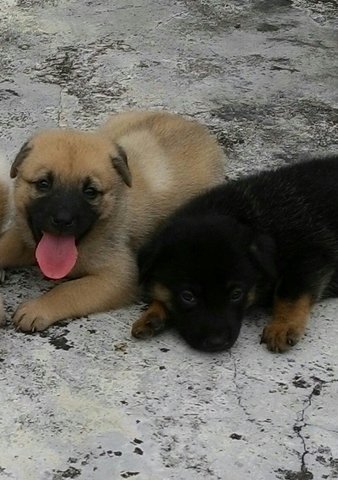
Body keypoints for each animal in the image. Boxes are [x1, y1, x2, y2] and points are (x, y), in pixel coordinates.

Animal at [0, 110, 226, 332]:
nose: (62, 220)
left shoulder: (118, 277)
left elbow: (68, 290)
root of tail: (195, 127)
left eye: (90, 192)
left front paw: (38, 308)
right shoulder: (23, 238)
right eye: (43, 184)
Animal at [133, 157, 338, 352]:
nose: (216, 343)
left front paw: (282, 326)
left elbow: (290, 293)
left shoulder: (310, 255)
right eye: (187, 296)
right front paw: (153, 313)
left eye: (236, 294)